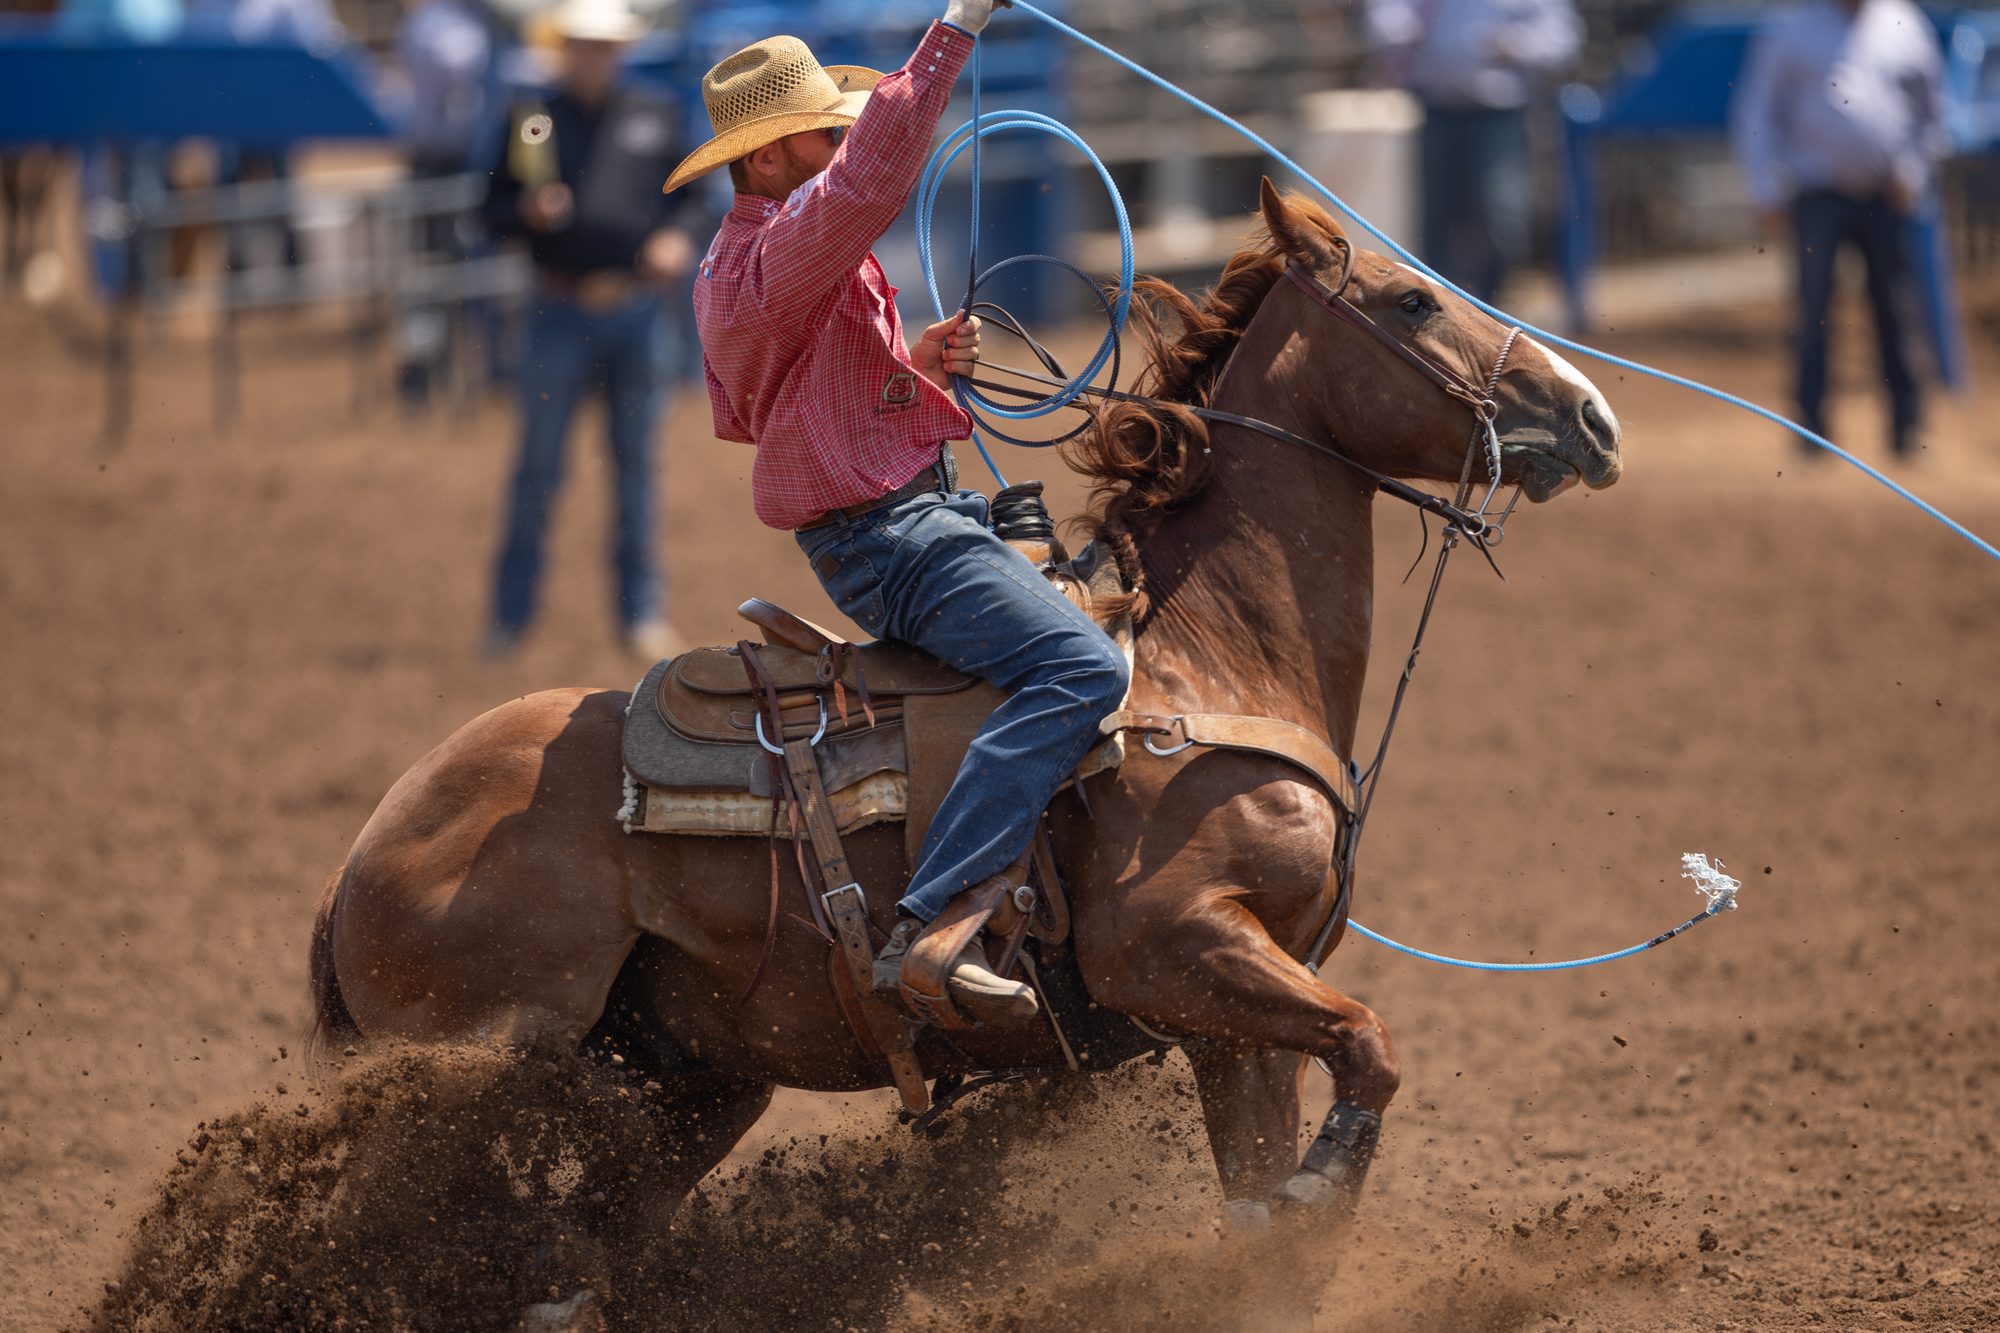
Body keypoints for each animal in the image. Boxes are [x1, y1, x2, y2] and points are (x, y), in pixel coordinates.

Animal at [307, 181, 1622, 1244]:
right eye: (1409, 302)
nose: (1593, 418)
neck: (1209, 664)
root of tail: (373, 839)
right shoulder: (1176, 950)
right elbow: (1369, 1046)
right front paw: (1324, 1181)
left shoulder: (1236, 1027)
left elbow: (1273, 1182)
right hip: (472, 1074)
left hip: (691, 1087)